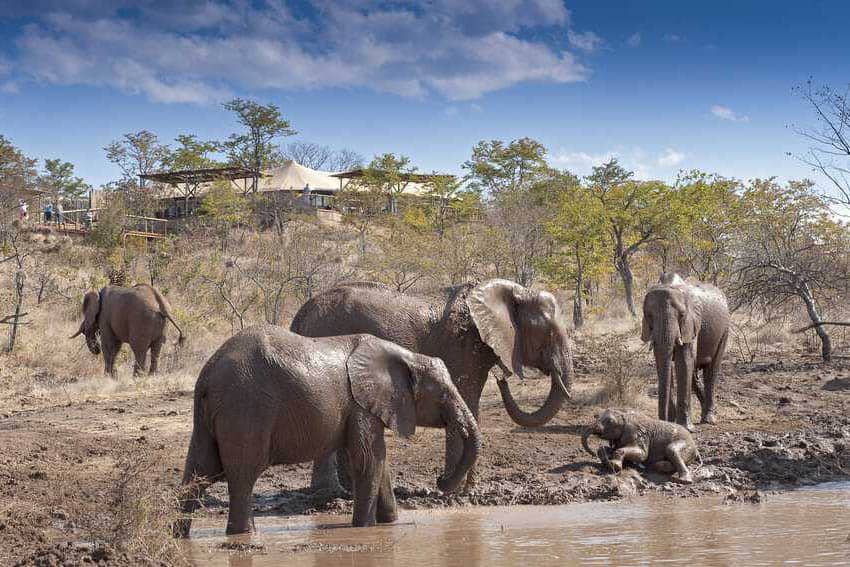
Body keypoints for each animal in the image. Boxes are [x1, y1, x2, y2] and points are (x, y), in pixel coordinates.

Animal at [288, 280, 572, 492]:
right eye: (548, 333)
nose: (502, 378)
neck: (512, 290)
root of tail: (299, 316)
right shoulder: (462, 346)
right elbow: (466, 400)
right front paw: (457, 494)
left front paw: (468, 491)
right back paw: (329, 495)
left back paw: (344, 493)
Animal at [644, 272, 728, 428]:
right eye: (649, 315)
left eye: (682, 315)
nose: (662, 421)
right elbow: (663, 362)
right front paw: (672, 423)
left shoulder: (692, 323)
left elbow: (684, 361)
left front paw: (685, 427)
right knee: (694, 376)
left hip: (724, 330)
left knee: (711, 371)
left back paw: (709, 419)